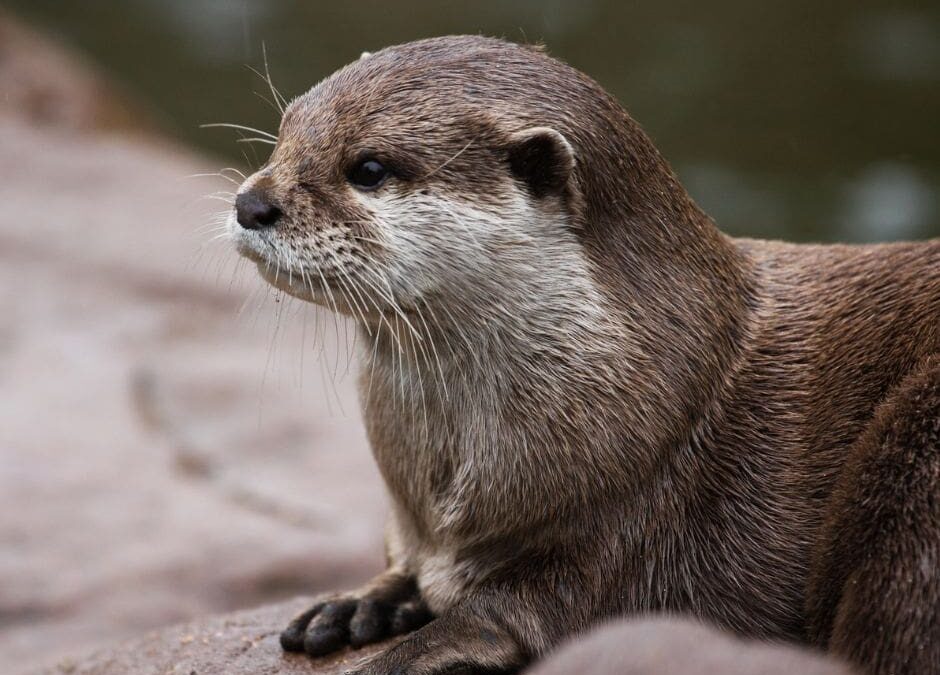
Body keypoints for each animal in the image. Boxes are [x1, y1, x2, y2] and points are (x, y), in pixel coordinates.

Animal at [224, 35, 936, 675]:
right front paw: (358, 602)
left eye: (368, 169)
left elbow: (520, 615)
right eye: (286, 132)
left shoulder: (628, 533)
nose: (251, 202)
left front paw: (406, 650)